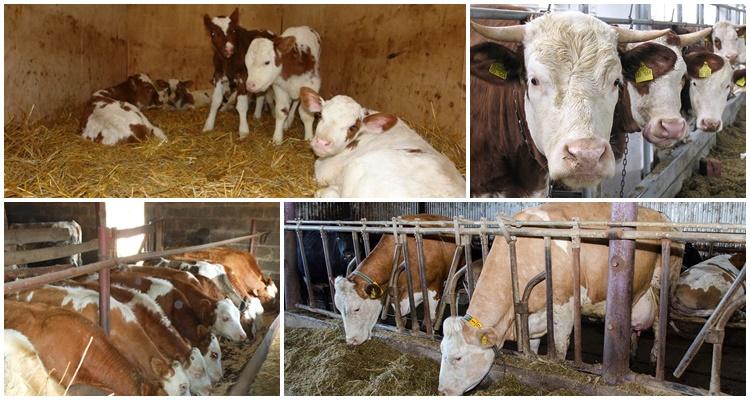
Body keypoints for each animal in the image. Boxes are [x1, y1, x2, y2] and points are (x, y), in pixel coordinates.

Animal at [202, 8, 275, 138]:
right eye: (213, 33)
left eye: (233, 30)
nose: (229, 49)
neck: (228, 61)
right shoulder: (218, 74)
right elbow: (216, 100)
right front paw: (208, 125)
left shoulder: (243, 76)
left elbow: (241, 104)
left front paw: (243, 130)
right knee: (260, 94)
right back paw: (257, 115)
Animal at [333, 214, 457, 345]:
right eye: (338, 308)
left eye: (357, 309)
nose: (351, 340)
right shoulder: (396, 293)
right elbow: (402, 318)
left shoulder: (435, 287)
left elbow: (430, 320)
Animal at [437, 203, 683, 396]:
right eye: (441, 351)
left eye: (458, 358)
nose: (442, 391)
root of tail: (665, 218)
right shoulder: (532, 314)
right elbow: (532, 346)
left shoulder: (564, 304)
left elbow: (560, 346)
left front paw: (559, 366)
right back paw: (631, 351)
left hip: (664, 282)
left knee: (660, 323)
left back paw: (654, 356)